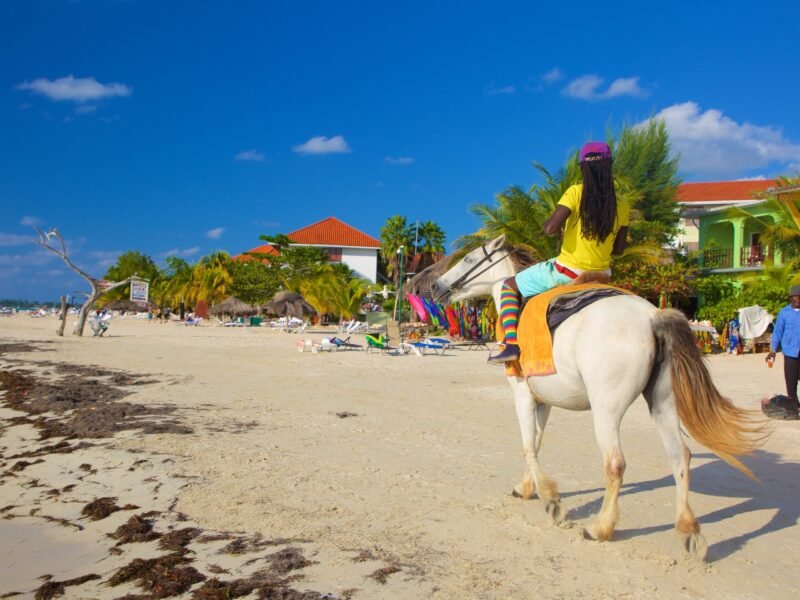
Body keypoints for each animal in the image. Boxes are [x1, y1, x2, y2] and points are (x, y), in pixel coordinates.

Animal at [428, 233, 764, 556]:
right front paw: (528, 487)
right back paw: (688, 529)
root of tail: (652, 317)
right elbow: (536, 442)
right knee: (680, 456)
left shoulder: (522, 394)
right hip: (663, 404)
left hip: (606, 410)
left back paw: (601, 527)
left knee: (615, 463)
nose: (434, 285)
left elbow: (527, 446)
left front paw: (551, 499)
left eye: (468, 258)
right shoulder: (544, 401)